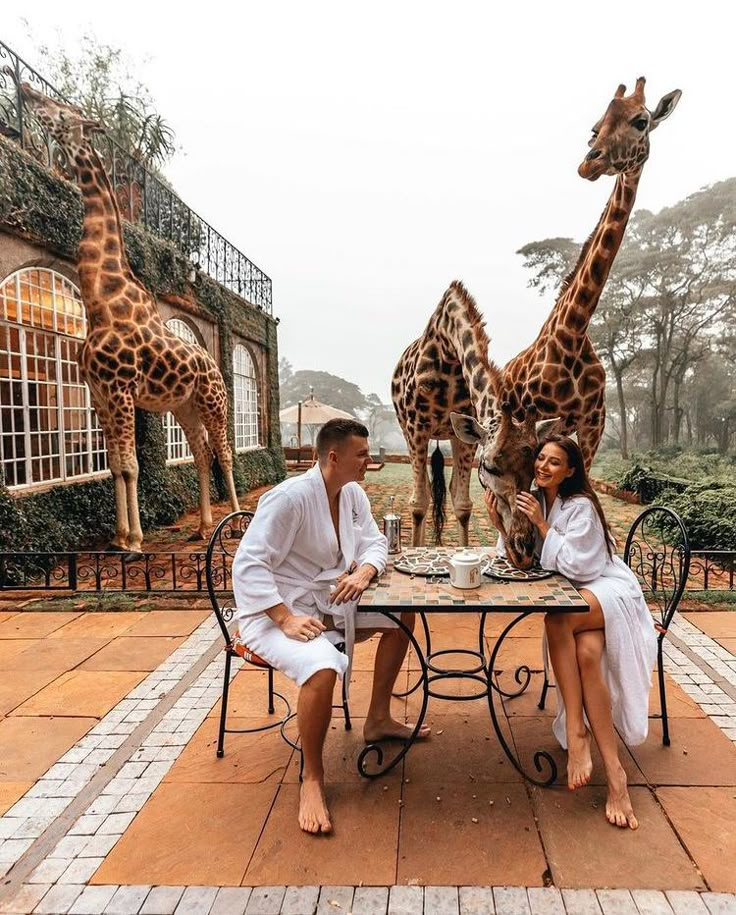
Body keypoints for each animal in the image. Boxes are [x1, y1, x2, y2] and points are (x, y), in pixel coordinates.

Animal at [19, 84, 239, 552]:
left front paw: (136, 540)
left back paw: (234, 519)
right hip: (183, 404)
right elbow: (117, 466)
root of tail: (214, 365)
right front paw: (119, 538)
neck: (101, 303)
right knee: (201, 451)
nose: (25, 88)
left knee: (224, 452)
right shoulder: (100, 395)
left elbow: (133, 465)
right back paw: (202, 526)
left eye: (63, 113)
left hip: (213, 400)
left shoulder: (120, 391)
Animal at [392, 282, 548, 564]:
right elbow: (418, 503)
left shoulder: (466, 437)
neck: (448, 350)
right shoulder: (416, 427)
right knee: (424, 493)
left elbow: (463, 505)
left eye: (534, 470)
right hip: (409, 429)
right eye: (489, 467)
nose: (523, 547)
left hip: (450, 435)